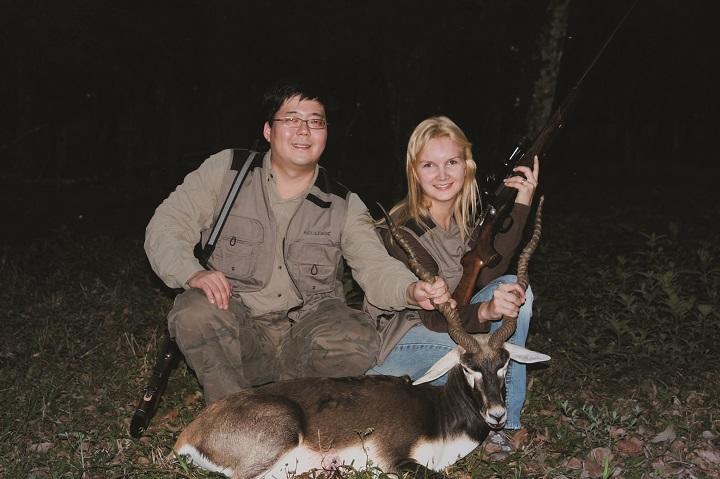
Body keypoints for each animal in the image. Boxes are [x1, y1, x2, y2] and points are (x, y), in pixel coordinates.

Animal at [173, 197, 549, 479]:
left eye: (504, 364)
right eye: (469, 367)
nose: (498, 415)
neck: (439, 415)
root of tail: (190, 432)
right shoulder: (395, 460)